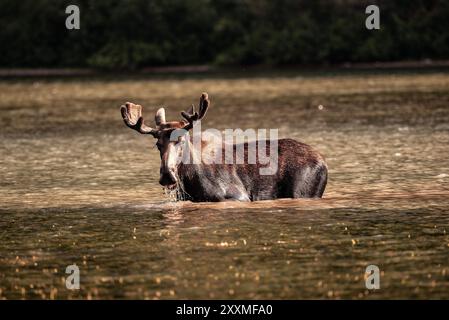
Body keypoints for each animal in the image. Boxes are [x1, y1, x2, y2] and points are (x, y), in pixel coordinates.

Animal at [121, 93, 328, 202]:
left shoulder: (239, 196)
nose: (166, 175)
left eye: (181, 140)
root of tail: (324, 162)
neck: (191, 180)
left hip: (303, 191)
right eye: (157, 144)